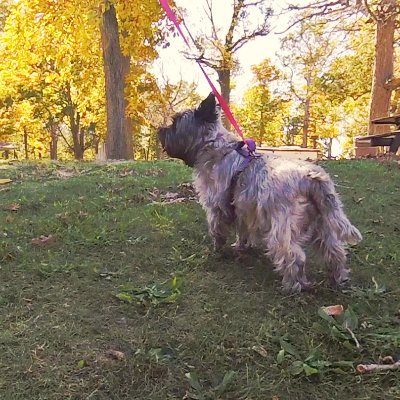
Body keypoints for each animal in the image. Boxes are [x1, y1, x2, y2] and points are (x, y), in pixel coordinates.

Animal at [159, 94, 362, 294]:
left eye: (176, 123)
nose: (160, 130)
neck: (215, 147)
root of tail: (311, 177)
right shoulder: (243, 211)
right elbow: (243, 233)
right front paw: (241, 246)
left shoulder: (216, 207)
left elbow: (217, 230)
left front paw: (217, 250)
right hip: (323, 225)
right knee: (335, 252)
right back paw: (339, 279)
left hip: (281, 228)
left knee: (293, 256)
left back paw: (292, 286)